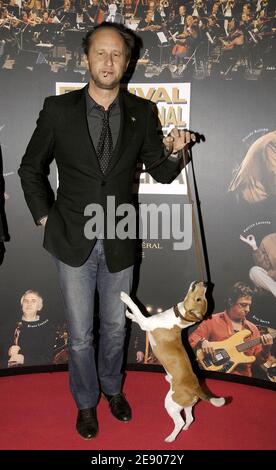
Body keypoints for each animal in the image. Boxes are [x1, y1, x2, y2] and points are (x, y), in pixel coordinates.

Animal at [120, 280, 224, 442]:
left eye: (200, 299)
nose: (205, 283)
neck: (177, 318)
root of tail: (196, 389)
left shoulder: (145, 322)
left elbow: (136, 308)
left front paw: (125, 297)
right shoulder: (146, 322)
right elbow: (135, 315)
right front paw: (128, 314)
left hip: (170, 404)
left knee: (179, 422)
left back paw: (171, 438)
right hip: (186, 406)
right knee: (190, 419)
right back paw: (186, 428)